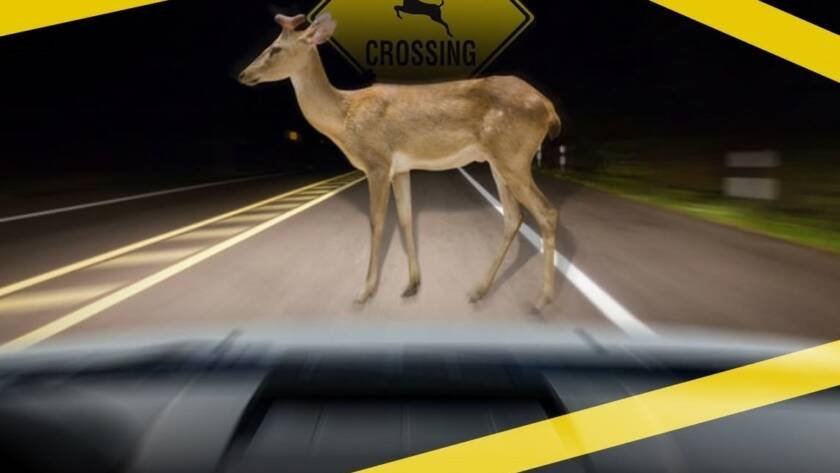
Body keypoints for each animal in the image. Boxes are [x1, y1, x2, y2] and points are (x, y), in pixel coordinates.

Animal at [238, 13, 562, 312]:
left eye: (275, 48)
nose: (243, 74)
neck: (344, 117)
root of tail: (549, 109)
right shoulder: (401, 169)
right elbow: (406, 218)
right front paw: (412, 284)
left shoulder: (378, 163)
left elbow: (377, 221)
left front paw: (364, 291)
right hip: (499, 161)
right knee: (514, 217)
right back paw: (479, 290)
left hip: (513, 157)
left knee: (546, 211)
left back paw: (542, 298)